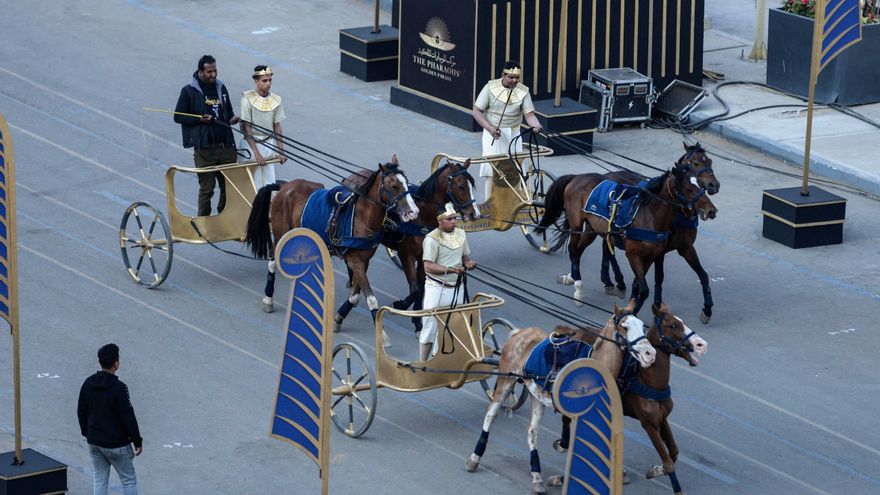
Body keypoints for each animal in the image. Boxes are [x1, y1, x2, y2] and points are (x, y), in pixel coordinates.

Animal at [242, 155, 418, 338]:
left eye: (406, 182)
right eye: (394, 185)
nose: (413, 211)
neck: (361, 217)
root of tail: (285, 187)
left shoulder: (363, 261)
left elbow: (354, 296)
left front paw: (338, 318)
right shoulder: (355, 261)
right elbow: (371, 298)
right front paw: (382, 335)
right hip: (281, 232)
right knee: (272, 262)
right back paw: (268, 298)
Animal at [464, 304, 656, 494]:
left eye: (641, 325)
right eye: (625, 326)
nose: (650, 353)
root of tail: (520, 333)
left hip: (536, 393)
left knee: (532, 431)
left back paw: (536, 475)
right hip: (506, 380)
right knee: (491, 414)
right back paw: (475, 457)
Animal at [536, 161, 716, 314]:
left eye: (700, 185)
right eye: (687, 188)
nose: (711, 210)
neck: (650, 216)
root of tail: (578, 177)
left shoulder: (657, 254)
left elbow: (641, 285)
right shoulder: (634, 255)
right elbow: (644, 289)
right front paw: (632, 313)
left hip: (592, 230)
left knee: (581, 251)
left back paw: (577, 279)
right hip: (576, 225)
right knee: (574, 251)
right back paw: (579, 288)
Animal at [600, 142, 720, 326]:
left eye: (710, 161)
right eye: (695, 163)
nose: (714, 185)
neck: (680, 214)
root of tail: (608, 174)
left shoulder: (686, 248)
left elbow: (703, 275)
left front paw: (707, 309)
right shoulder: (659, 252)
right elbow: (657, 278)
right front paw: (651, 305)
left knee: (606, 246)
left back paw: (612, 281)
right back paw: (614, 281)